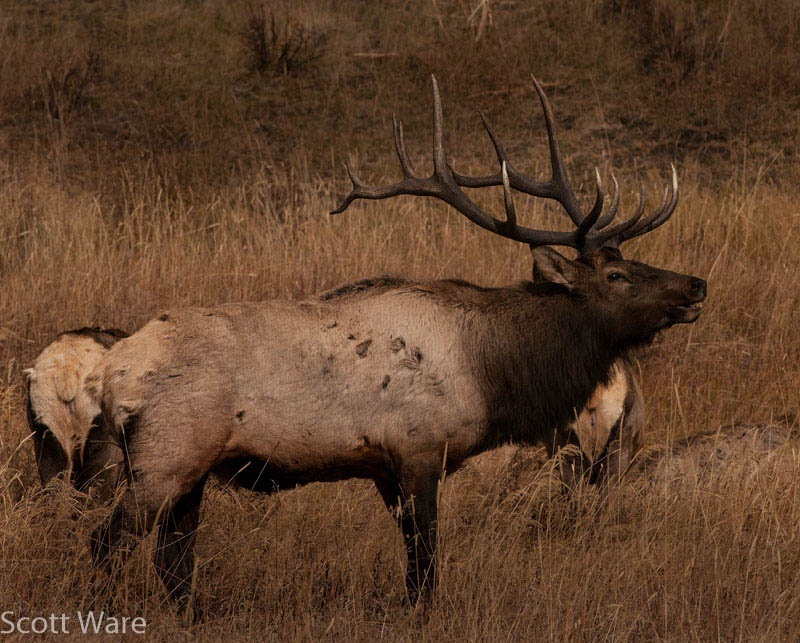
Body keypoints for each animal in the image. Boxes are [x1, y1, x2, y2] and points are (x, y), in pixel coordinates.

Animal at [85, 76, 706, 609]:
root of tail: (111, 375)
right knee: (109, 542)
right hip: (166, 453)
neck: (495, 371)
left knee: (172, 560)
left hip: (190, 470)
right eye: (616, 276)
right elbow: (425, 562)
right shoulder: (418, 449)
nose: (696, 284)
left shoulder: (386, 468)